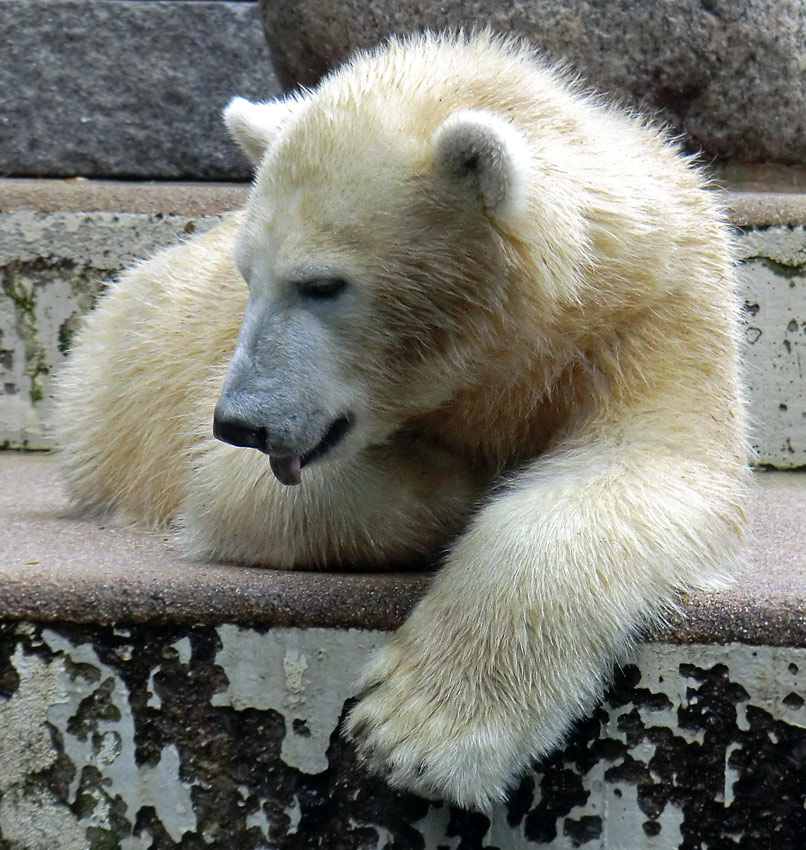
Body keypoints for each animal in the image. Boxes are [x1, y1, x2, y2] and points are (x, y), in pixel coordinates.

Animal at [56, 33, 752, 808]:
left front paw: (416, 734)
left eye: (322, 283)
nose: (240, 422)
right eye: (248, 276)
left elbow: (646, 466)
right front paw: (468, 480)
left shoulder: (651, 315)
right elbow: (241, 491)